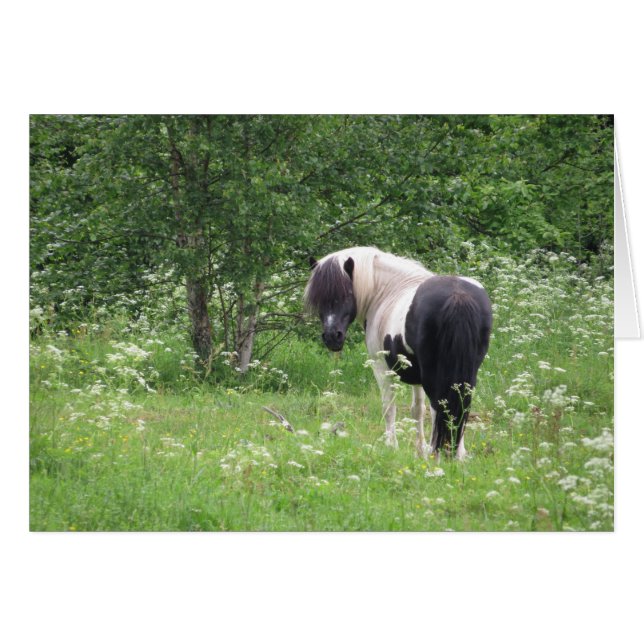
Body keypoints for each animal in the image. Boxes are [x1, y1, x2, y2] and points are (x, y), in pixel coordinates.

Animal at [304, 246, 492, 460]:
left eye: (346, 294)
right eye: (318, 299)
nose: (331, 337)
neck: (386, 291)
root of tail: (458, 296)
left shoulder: (382, 367)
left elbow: (389, 407)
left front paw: (391, 447)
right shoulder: (416, 374)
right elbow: (417, 410)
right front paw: (419, 451)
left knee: (439, 406)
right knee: (460, 405)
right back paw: (457, 454)